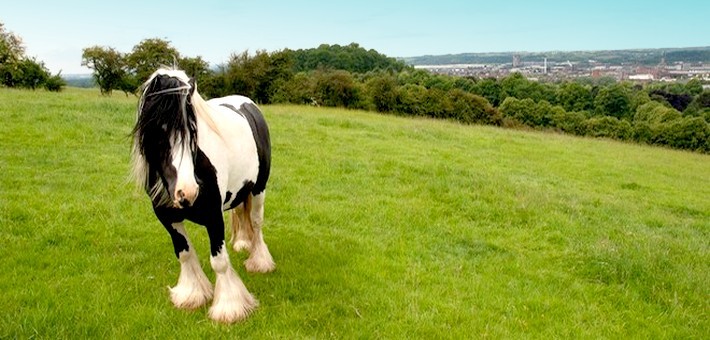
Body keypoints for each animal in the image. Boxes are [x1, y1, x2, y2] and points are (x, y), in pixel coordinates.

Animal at [131, 67, 276, 324]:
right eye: (158, 132)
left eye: (193, 131)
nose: (187, 192)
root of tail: (247, 104)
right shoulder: (167, 217)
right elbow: (185, 254)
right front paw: (192, 294)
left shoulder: (213, 217)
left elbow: (219, 262)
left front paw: (230, 307)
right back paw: (242, 243)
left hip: (259, 188)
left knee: (257, 222)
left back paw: (259, 261)